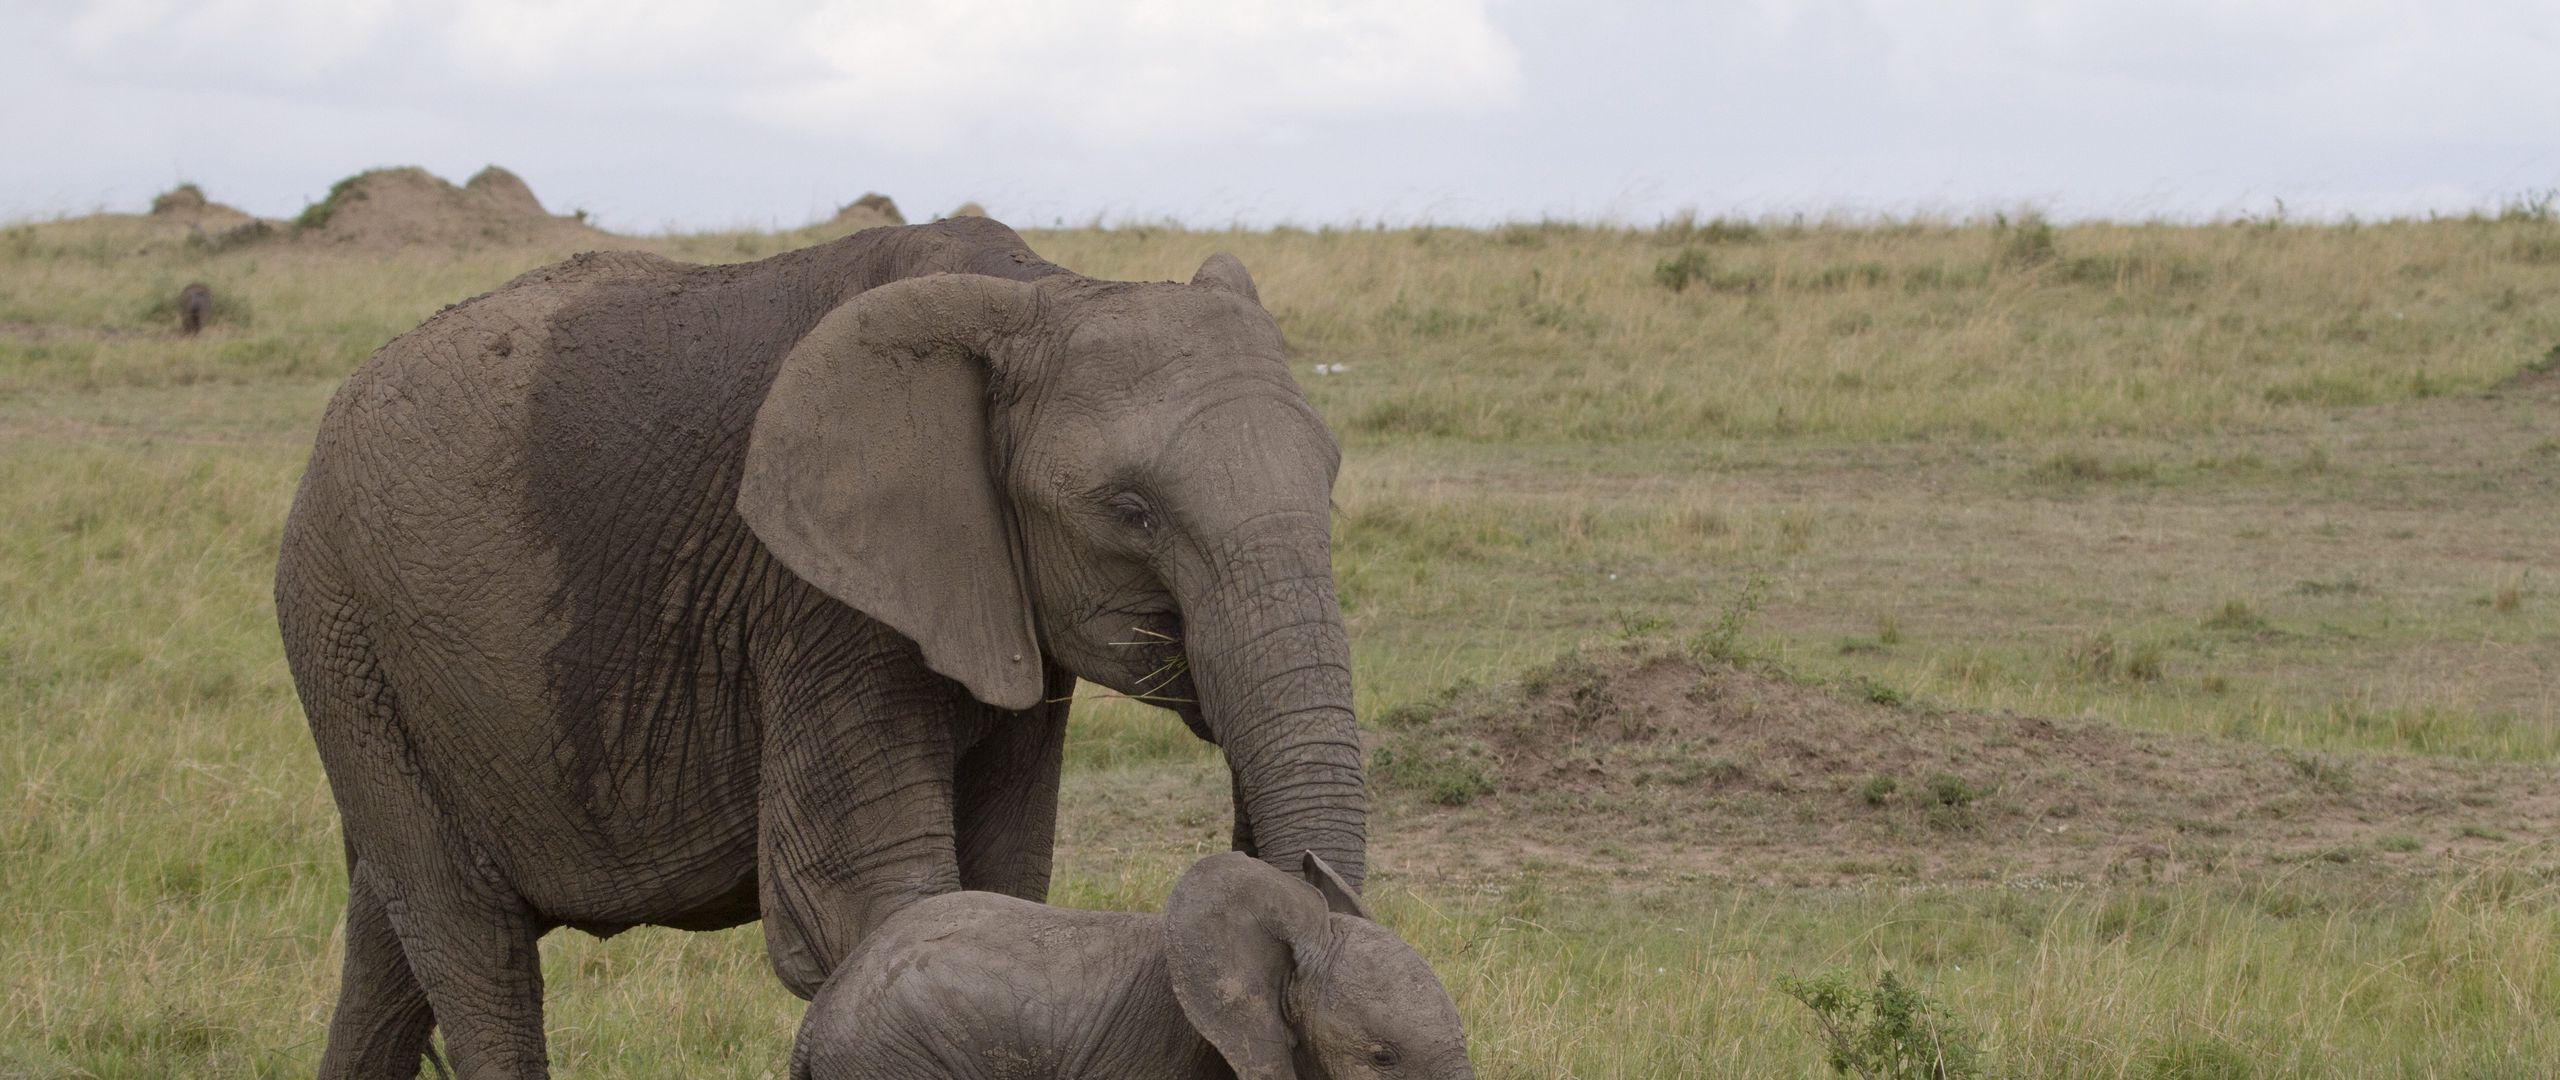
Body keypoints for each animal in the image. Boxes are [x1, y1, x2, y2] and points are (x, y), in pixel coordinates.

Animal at [275, 217, 1367, 1078]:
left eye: (1329, 479)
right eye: (1130, 511)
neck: (1035, 291)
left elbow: (1003, 889)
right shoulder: (814, 602)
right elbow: (868, 906)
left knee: (389, 943)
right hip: (344, 631)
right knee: (473, 945)